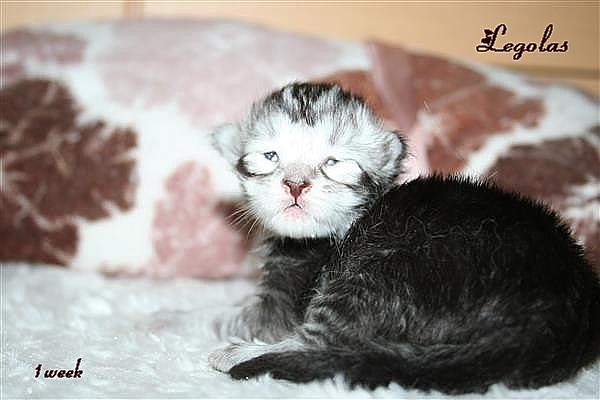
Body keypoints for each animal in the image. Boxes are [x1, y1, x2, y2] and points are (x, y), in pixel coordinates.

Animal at [208, 82, 599, 394]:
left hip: (375, 276)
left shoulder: (290, 292)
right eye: (269, 156)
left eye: (334, 163)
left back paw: (237, 354)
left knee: (325, 349)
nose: (295, 184)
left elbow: (256, 319)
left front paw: (215, 319)